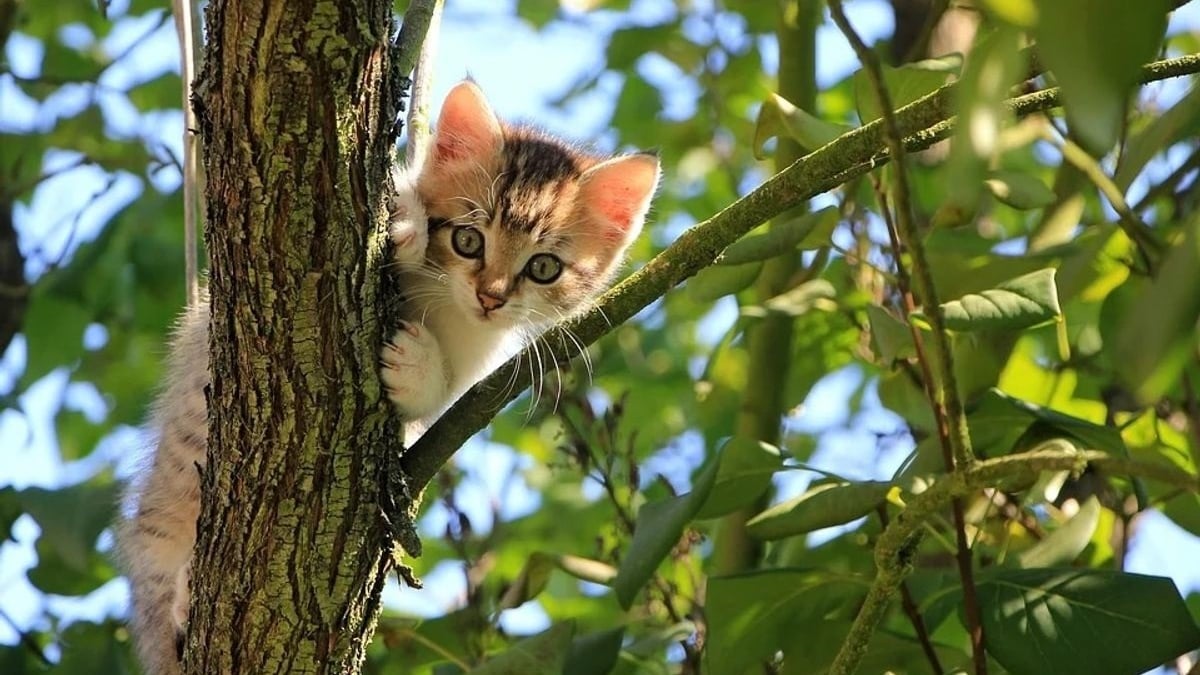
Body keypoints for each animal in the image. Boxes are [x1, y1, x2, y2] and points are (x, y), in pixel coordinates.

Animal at [117, 79, 662, 672]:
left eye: (544, 268)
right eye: (468, 239)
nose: (491, 297)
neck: (445, 305)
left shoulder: (475, 362)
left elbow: (439, 397)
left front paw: (416, 366)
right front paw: (405, 220)